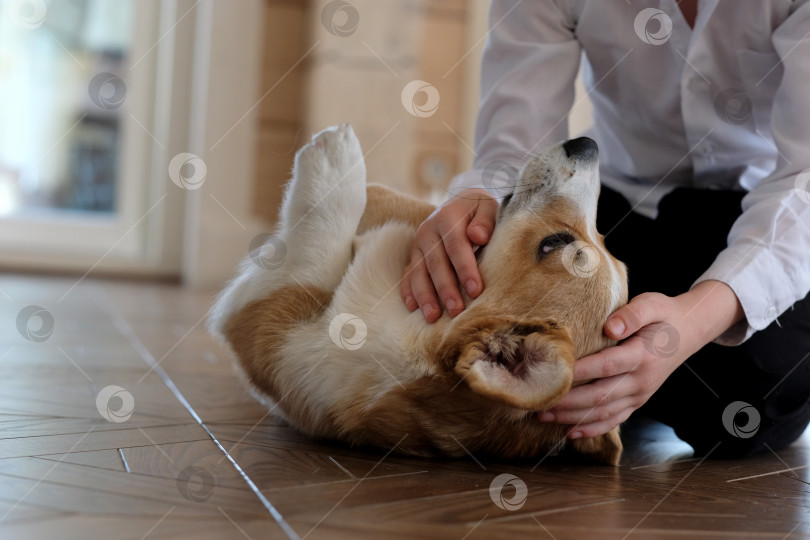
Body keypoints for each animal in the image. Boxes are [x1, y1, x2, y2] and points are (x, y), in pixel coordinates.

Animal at [207, 123, 624, 464]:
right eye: (610, 248)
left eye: (554, 242)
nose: (587, 143)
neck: (415, 326)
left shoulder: (272, 322)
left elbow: (317, 245)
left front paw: (335, 154)